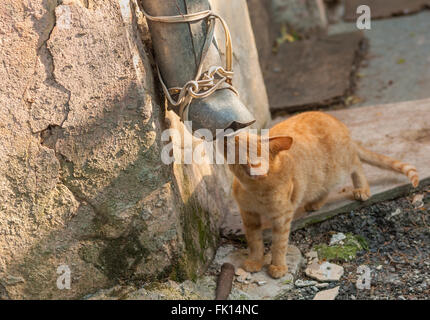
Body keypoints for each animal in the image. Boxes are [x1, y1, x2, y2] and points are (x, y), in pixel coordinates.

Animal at [227, 111, 418, 278]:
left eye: (243, 144)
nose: (231, 135)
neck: (254, 189)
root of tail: (337, 122)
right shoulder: (248, 215)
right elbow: (254, 242)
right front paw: (255, 261)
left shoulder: (282, 217)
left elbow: (279, 244)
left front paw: (278, 266)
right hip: (321, 176)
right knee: (325, 187)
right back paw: (315, 203)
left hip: (340, 166)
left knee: (357, 164)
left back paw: (362, 189)